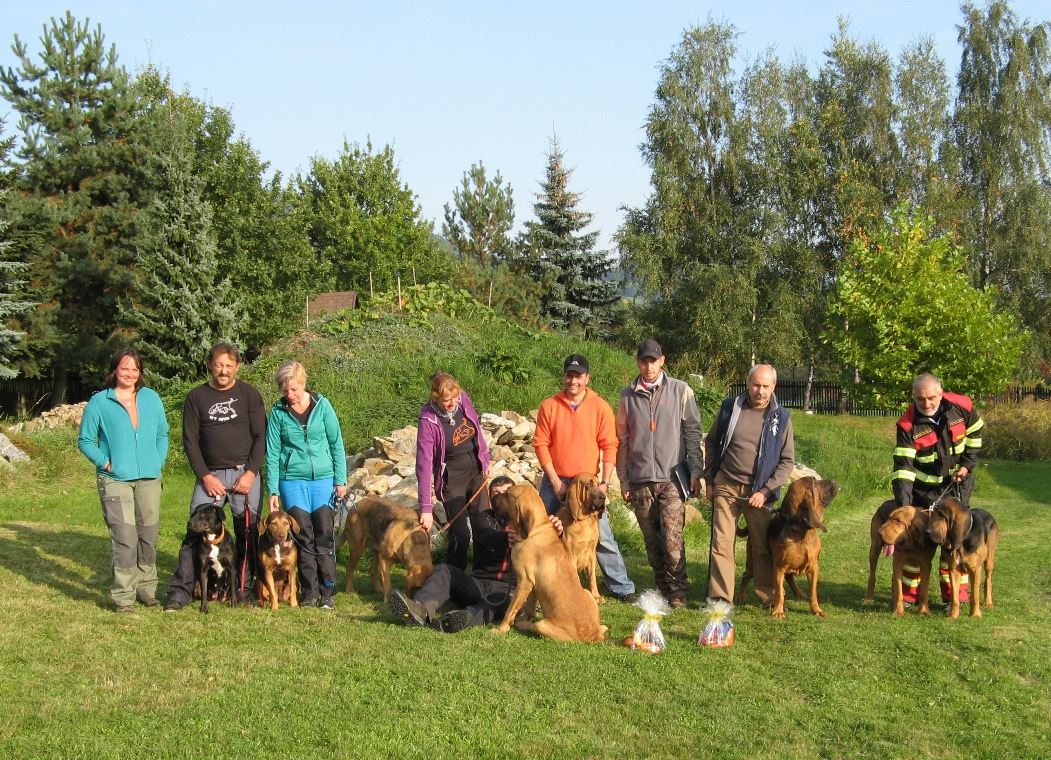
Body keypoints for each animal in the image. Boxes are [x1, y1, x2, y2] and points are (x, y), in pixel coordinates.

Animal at [491, 487, 609, 643]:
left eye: (507, 493)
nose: (492, 496)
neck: (535, 531)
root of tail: (593, 634)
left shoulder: (524, 582)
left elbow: (510, 609)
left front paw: (501, 628)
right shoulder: (532, 586)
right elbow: (529, 608)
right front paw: (523, 618)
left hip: (543, 625)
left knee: (535, 626)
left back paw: (522, 625)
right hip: (588, 593)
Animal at [554, 473, 605, 605]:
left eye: (599, 484)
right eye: (588, 484)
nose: (603, 497)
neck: (585, 521)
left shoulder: (591, 554)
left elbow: (592, 577)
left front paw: (596, 596)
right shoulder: (570, 555)